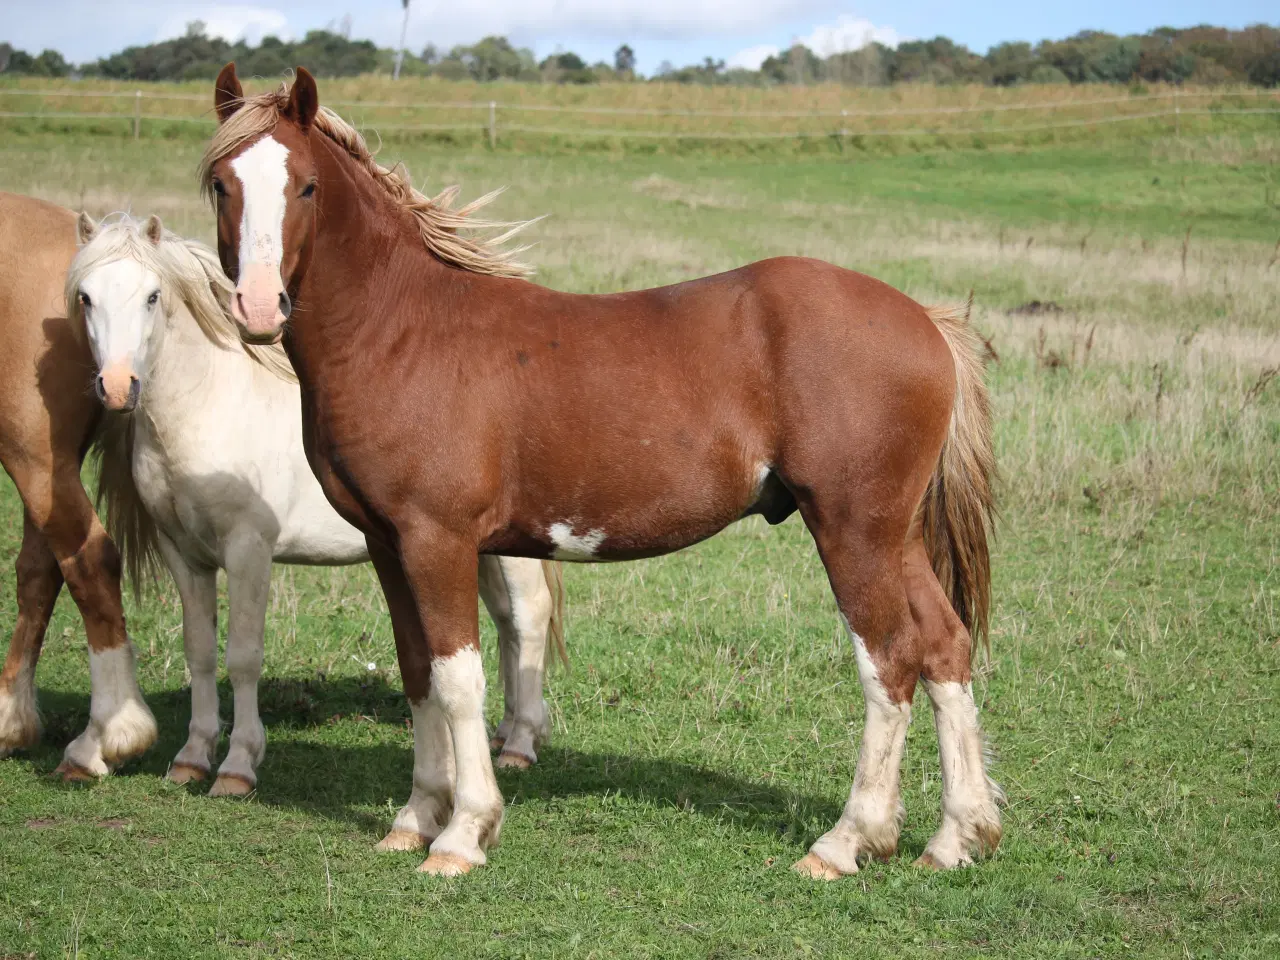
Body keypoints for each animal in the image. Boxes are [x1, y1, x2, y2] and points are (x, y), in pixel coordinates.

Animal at [68, 213, 565, 793]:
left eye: (151, 296)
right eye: (85, 297)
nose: (117, 387)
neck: (210, 406)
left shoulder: (248, 550)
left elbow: (243, 656)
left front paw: (238, 766)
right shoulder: (183, 553)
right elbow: (200, 652)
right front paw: (191, 758)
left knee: (528, 618)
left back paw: (522, 745)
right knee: (506, 623)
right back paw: (503, 735)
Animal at [202, 65, 998, 880]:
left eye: (305, 186)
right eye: (219, 184)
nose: (258, 306)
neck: (403, 329)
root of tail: (926, 321)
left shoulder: (438, 541)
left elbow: (459, 682)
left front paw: (463, 833)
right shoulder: (388, 545)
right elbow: (418, 672)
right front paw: (414, 818)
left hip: (852, 531)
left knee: (890, 661)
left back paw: (846, 840)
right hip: (896, 537)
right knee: (945, 648)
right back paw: (955, 837)